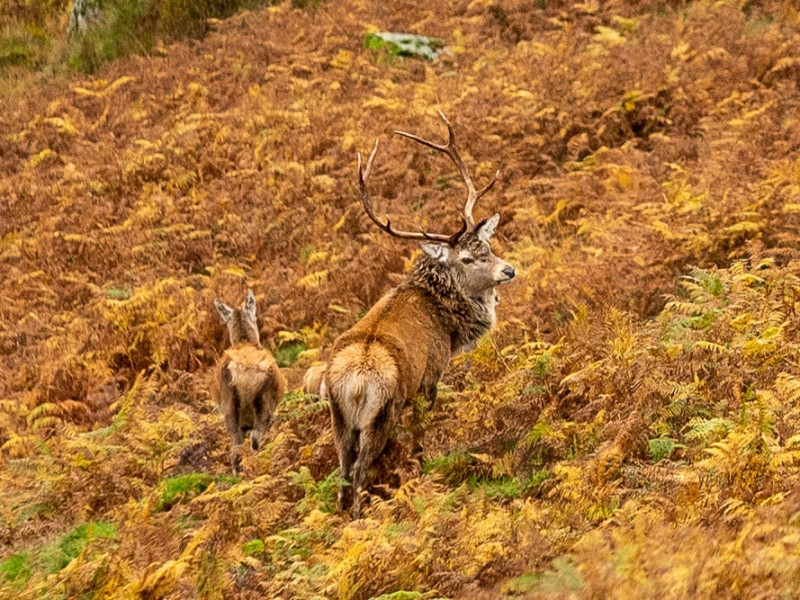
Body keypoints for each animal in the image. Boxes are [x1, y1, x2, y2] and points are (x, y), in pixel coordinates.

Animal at [325, 111, 516, 517]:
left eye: (488, 246)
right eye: (466, 258)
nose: (509, 270)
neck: (449, 324)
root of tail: (354, 382)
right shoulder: (430, 375)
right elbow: (420, 433)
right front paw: (421, 464)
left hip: (338, 418)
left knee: (343, 470)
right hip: (381, 411)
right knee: (360, 469)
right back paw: (362, 515)